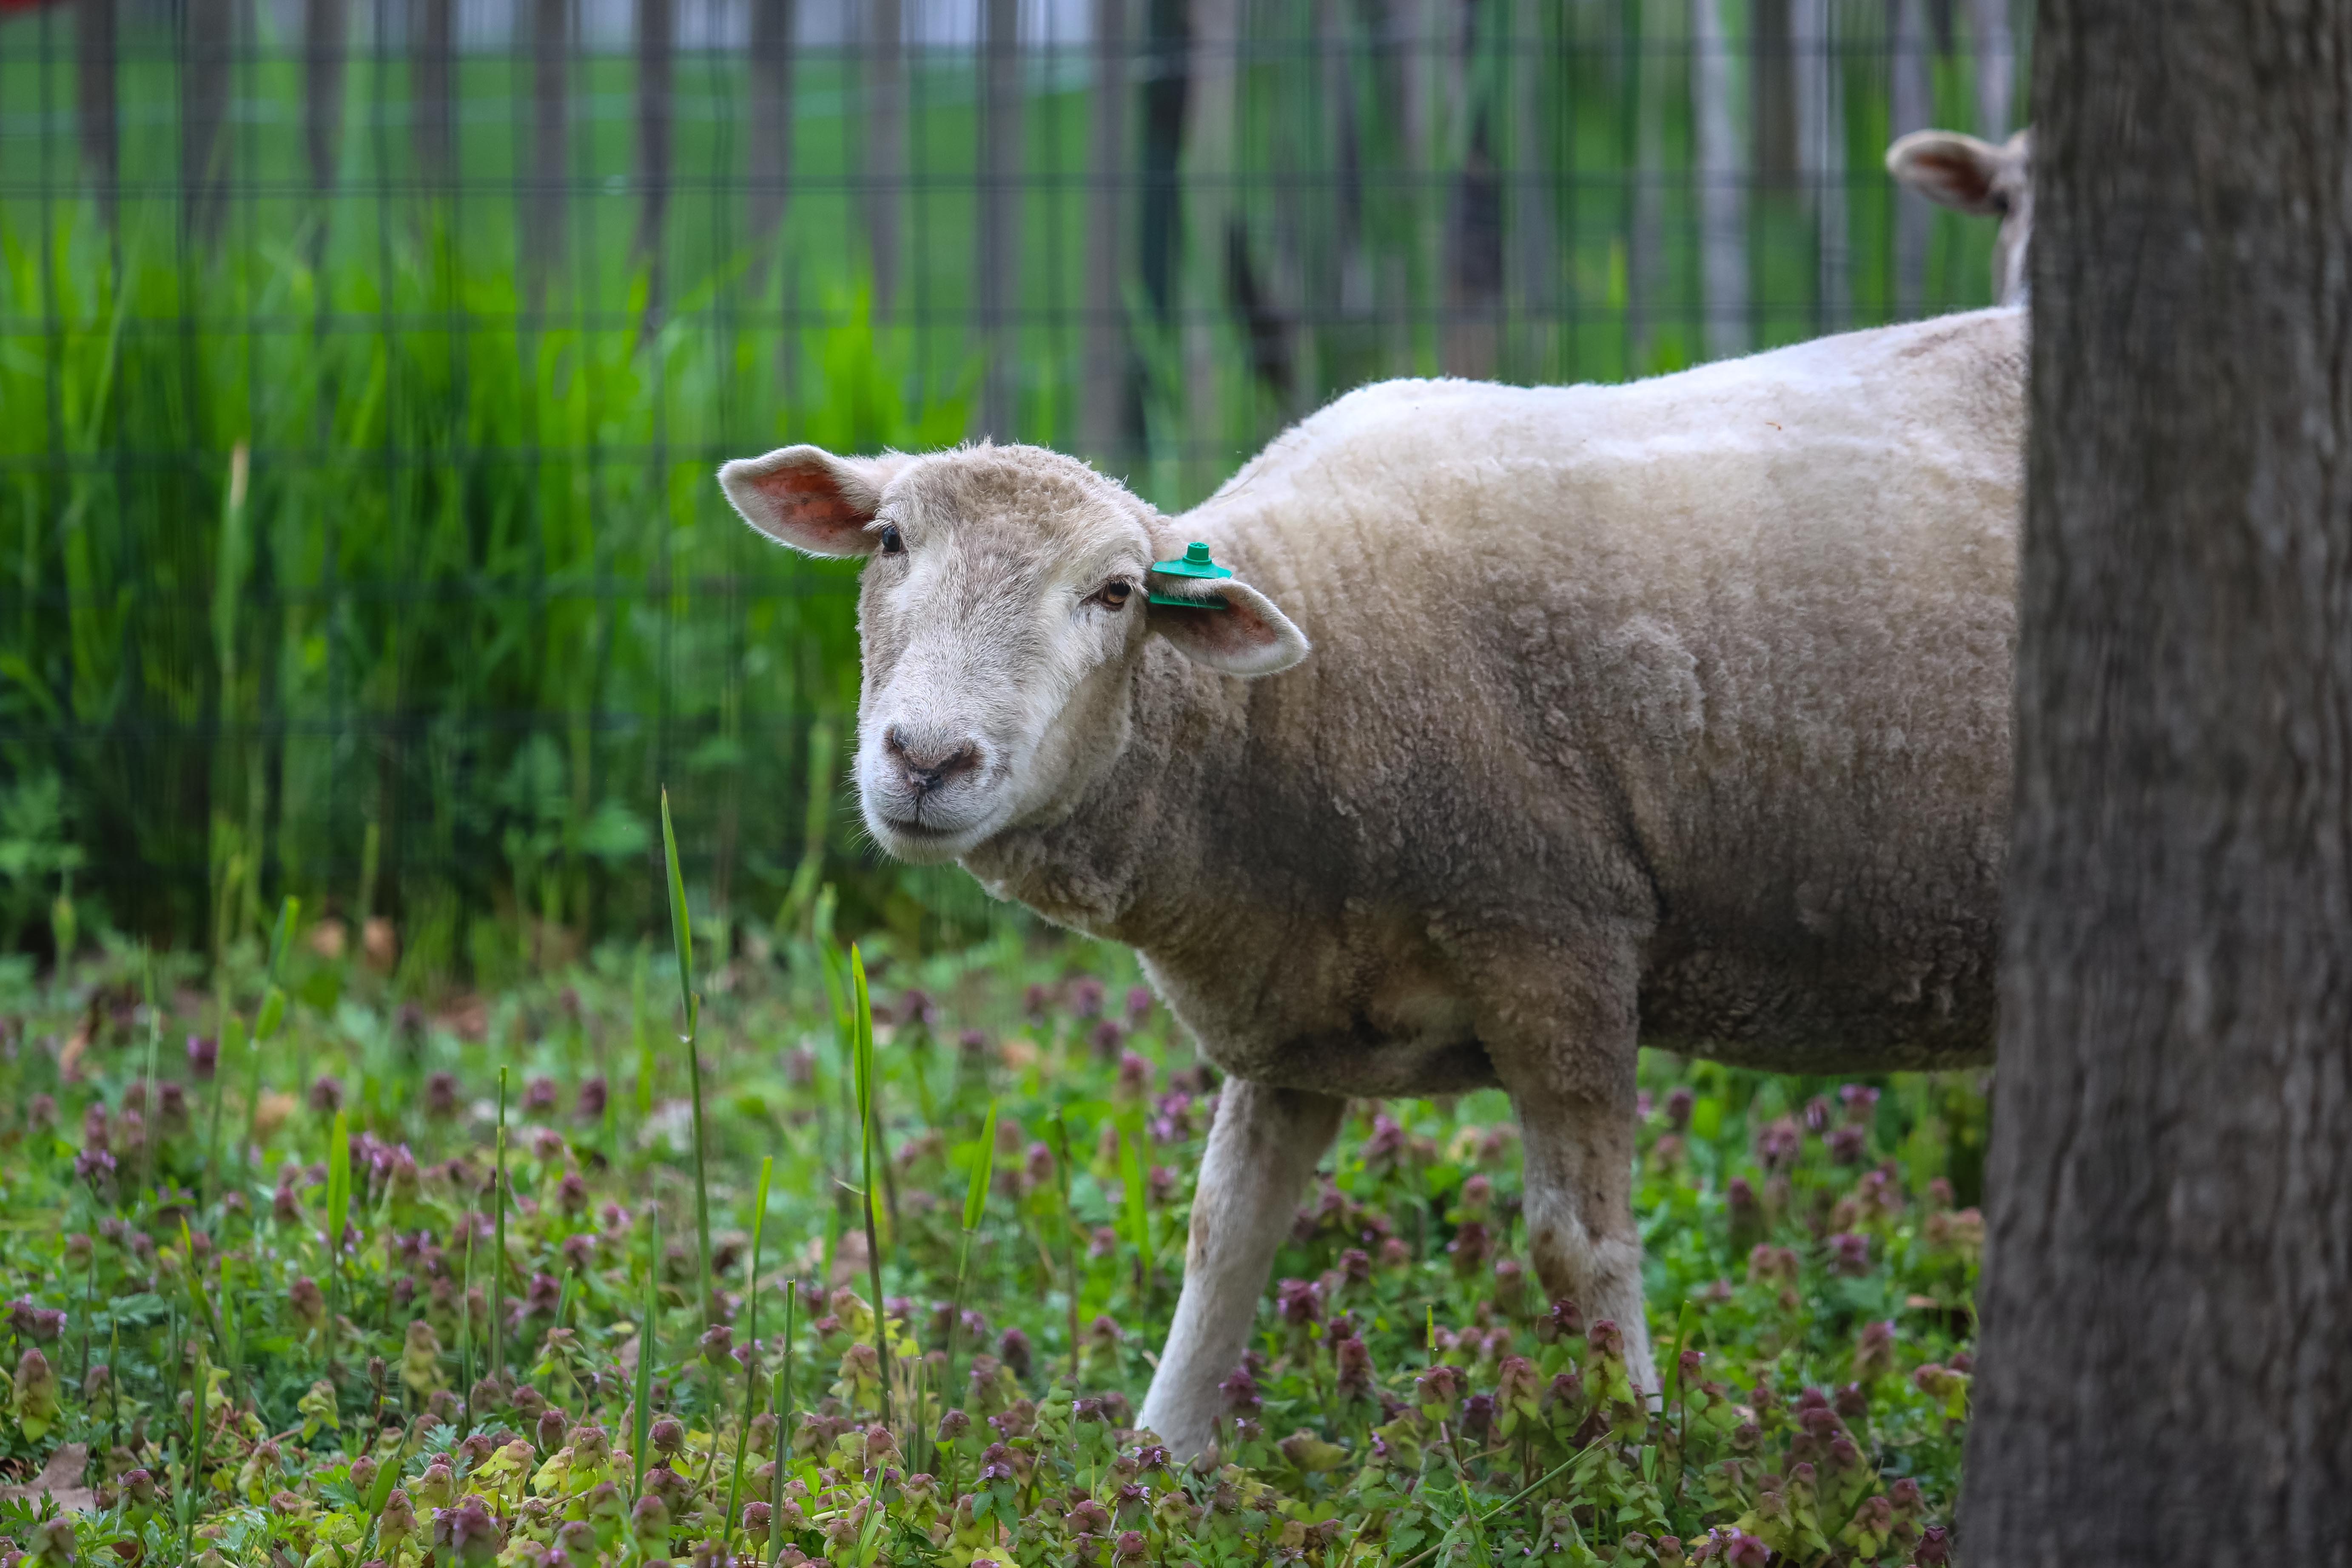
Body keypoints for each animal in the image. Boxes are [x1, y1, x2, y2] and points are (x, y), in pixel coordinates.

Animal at [710, 303, 2022, 1457]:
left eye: (1117, 592)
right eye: (890, 543)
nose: (928, 759)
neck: (1283, 708)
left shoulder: (1553, 936)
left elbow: (1580, 1246)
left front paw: (1637, 1453)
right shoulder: (1290, 994)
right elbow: (1225, 1233)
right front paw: (1159, 1457)